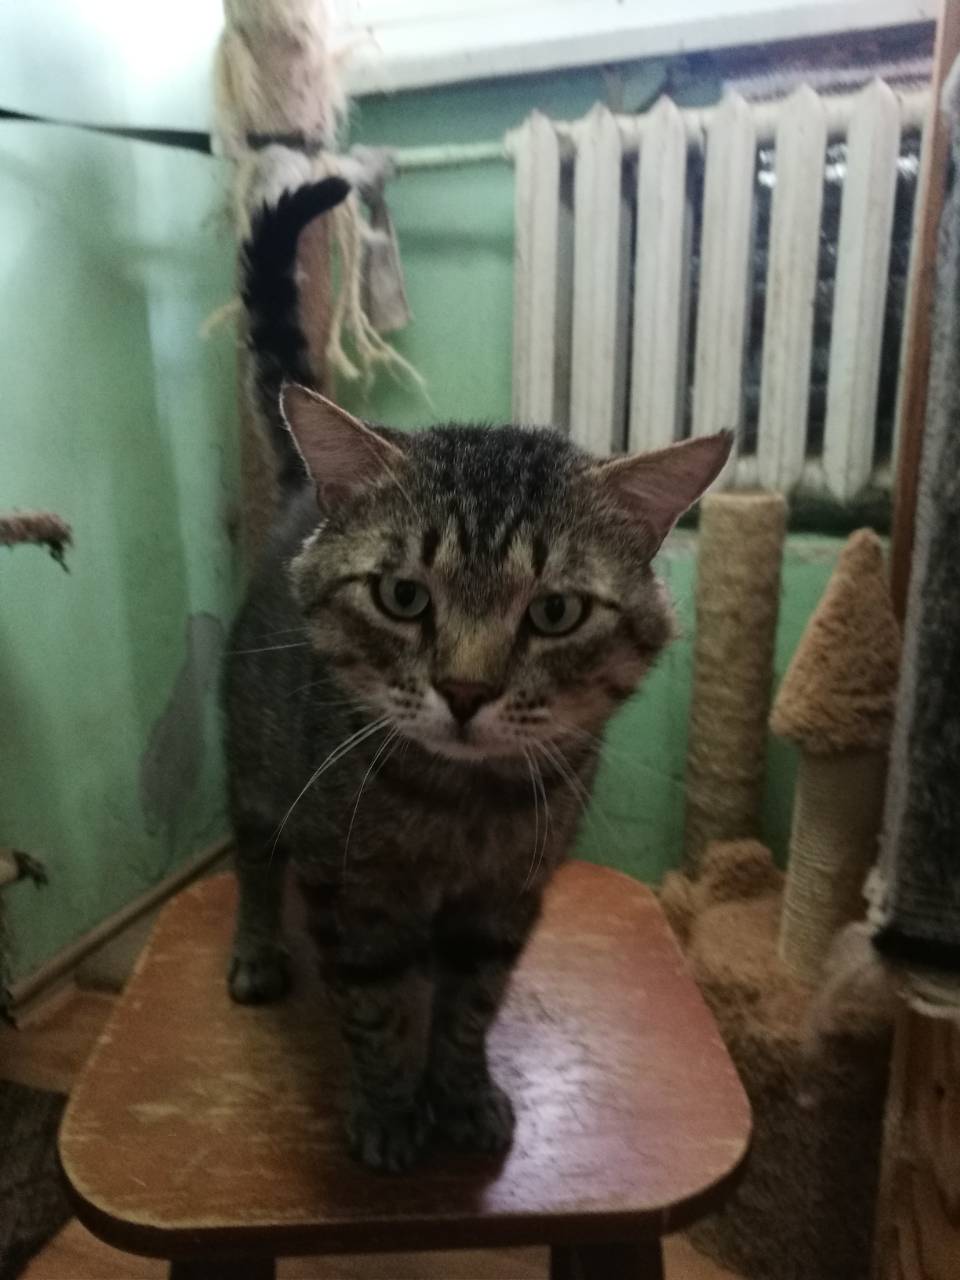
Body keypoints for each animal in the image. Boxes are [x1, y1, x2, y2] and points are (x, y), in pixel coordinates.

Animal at [224, 173, 732, 1172]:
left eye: (555, 612)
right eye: (402, 597)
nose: (464, 692)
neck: (459, 810)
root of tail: (301, 492)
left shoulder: (506, 901)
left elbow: (470, 1007)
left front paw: (459, 1095)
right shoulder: (350, 888)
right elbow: (375, 1005)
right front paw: (389, 1110)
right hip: (257, 768)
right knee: (253, 860)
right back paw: (259, 948)